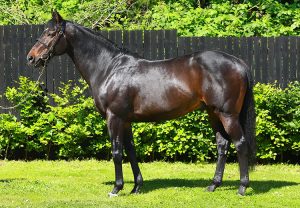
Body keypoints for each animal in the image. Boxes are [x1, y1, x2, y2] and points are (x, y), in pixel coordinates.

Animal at [27, 11, 255, 197]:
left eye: (50, 33)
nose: (31, 58)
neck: (109, 68)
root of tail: (238, 62)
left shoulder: (114, 118)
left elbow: (117, 152)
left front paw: (116, 188)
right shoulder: (126, 121)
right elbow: (131, 151)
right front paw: (136, 187)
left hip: (227, 115)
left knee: (240, 143)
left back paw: (242, 187)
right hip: (212, 113)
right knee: (222, 145)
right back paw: (213, 185)